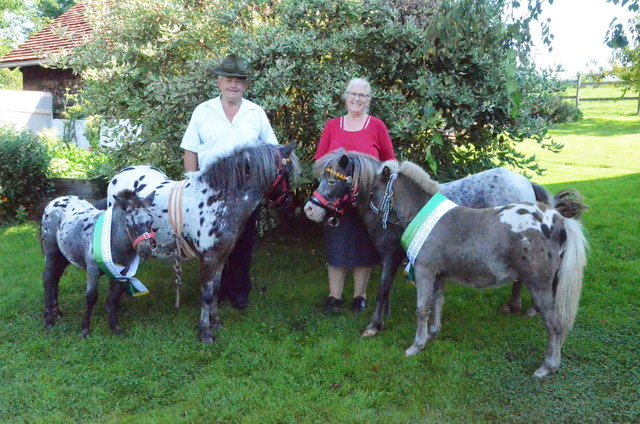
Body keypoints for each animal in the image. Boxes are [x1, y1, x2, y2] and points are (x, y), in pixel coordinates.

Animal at [41, 190, 155, 336]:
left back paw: (57, 312)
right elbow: (91, 297)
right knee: (48, 279)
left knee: (56, 278)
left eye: (151, 221)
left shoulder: (121, 272)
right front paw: (85, 330)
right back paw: (49, 320)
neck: (113, 240)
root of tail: (54, 201)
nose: (145, 251)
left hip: (64, 256)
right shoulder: (93, 269)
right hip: (51, 252)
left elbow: (114, 297)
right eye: (128, 224)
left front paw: (114, 327)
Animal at [107, 142, 300, 342]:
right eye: (285, 172)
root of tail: (118, 176)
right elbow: (207, 294)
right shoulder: (208, 259)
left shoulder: (221, 256)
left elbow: (216, 289)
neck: (215, 202)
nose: (288, 201)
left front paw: (216, 322)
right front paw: (205, 331)